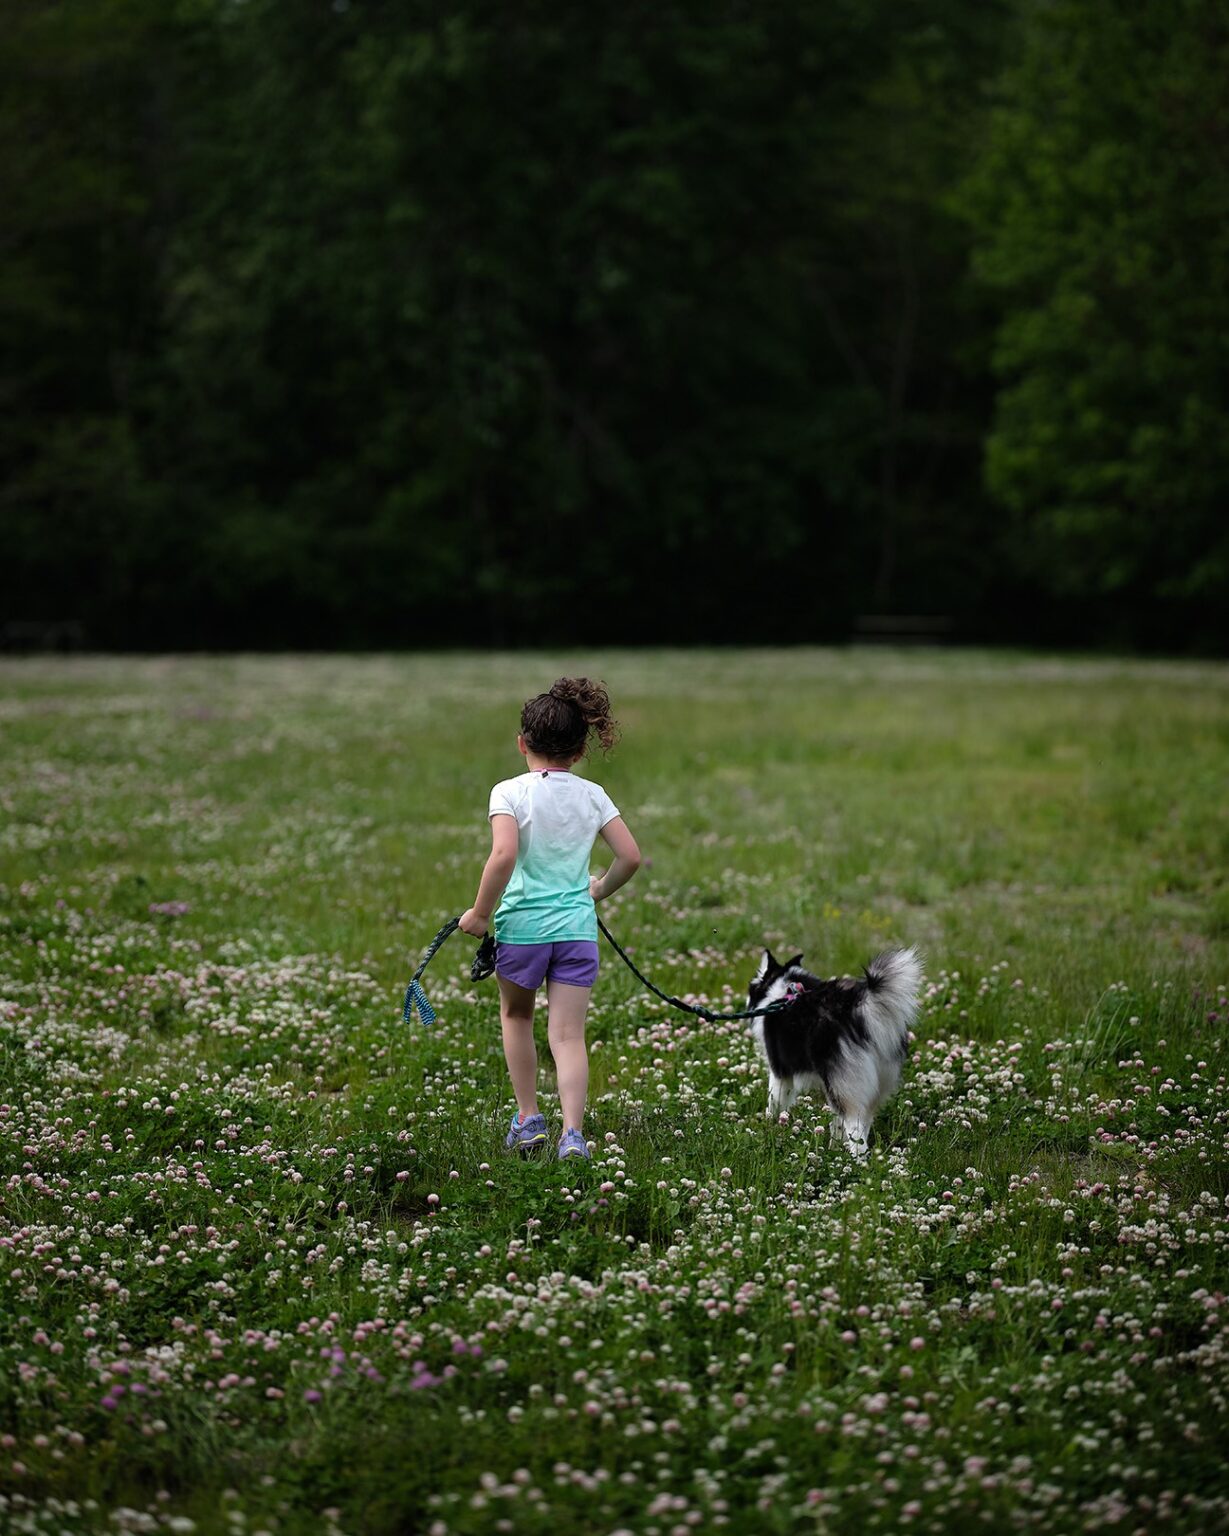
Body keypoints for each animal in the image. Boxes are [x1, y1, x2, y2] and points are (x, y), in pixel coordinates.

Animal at [749, 940, 921, 1155]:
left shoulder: (780, 1072)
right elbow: (837, 1123)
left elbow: (774, 1104)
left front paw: (769, 1126)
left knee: (856, 1131)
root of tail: (858, 1008)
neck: (784, 990)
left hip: (845, 1082)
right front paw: (835, 1148)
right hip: (873, 1081)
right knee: (863, 1121)